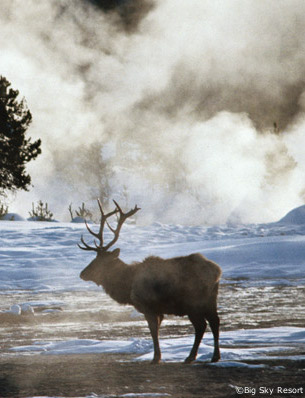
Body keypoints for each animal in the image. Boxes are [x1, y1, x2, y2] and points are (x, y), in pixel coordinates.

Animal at [78, 201, 221, 362]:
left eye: (100, 261)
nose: (82, 273)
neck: (128, 285)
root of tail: (217, 271)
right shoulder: (158, 311)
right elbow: (156, 331)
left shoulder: (148, 306)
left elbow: (153, 331)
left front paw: (156, 357)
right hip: (210, 300)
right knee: (215, 322)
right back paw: (214, 356)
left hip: (193, 302)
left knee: (201, 325)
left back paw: (192, 357)